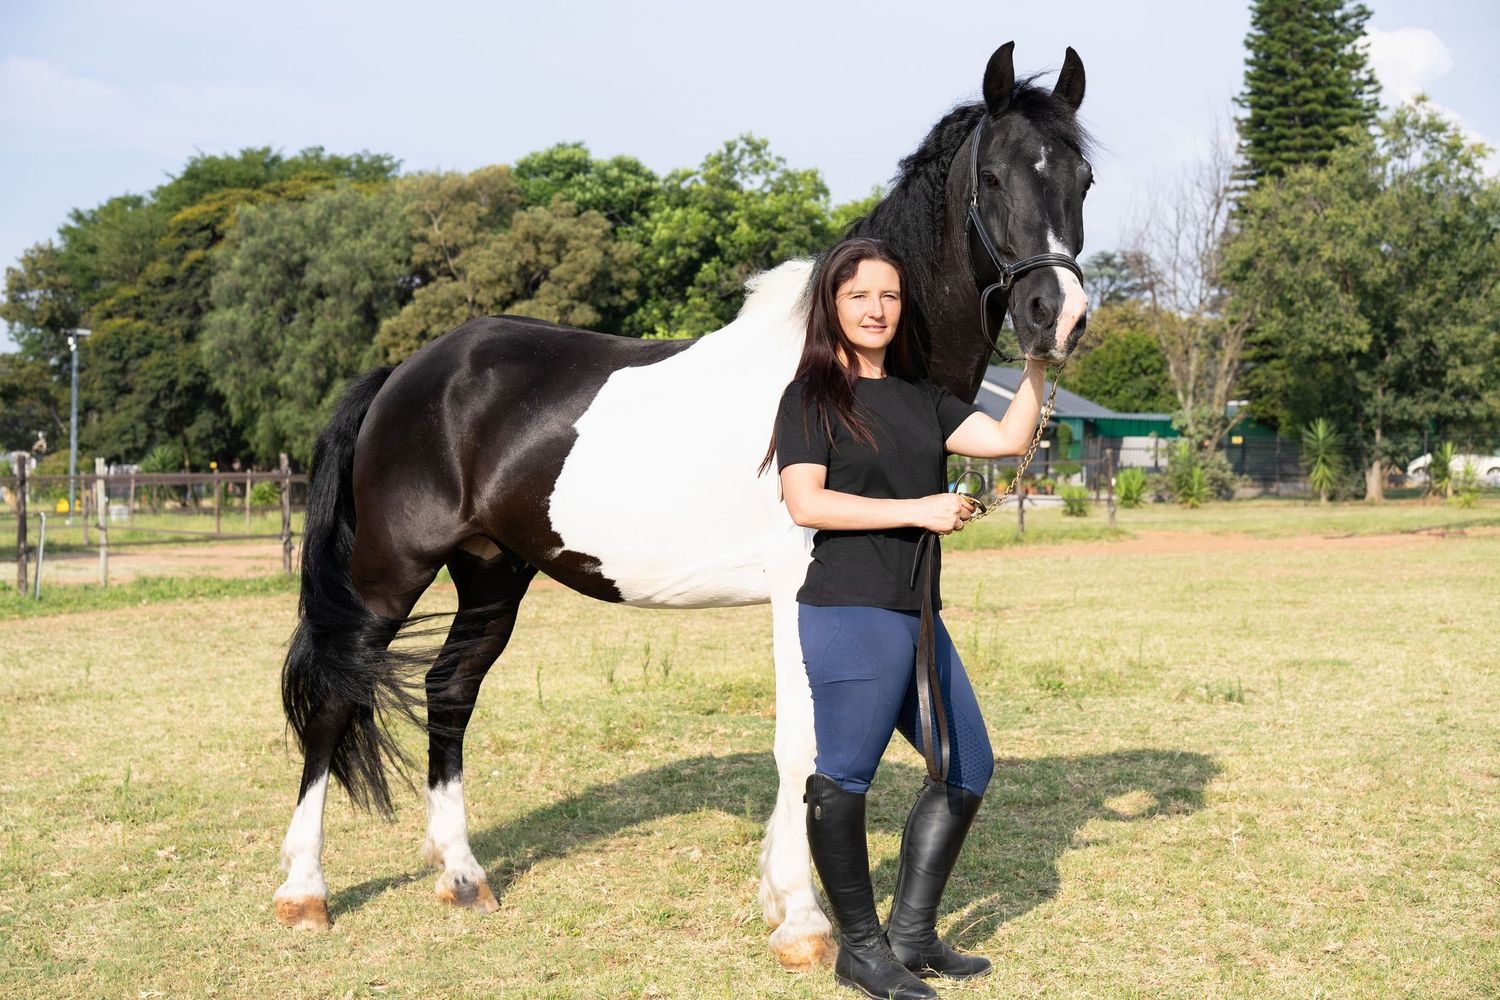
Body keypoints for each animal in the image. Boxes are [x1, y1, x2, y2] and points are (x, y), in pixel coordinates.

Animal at [272, 40, 1094, 971]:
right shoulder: (797, 593)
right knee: (334, 704)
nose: (1057, 317)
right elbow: (803, 741)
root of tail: (410, 372)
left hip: (491, 577)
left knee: (450, 693)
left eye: (1083, 178)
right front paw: (803, 921)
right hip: (387, 577)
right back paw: (305, 893)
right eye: (992, 177)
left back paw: (462, 876)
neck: (844, 371)